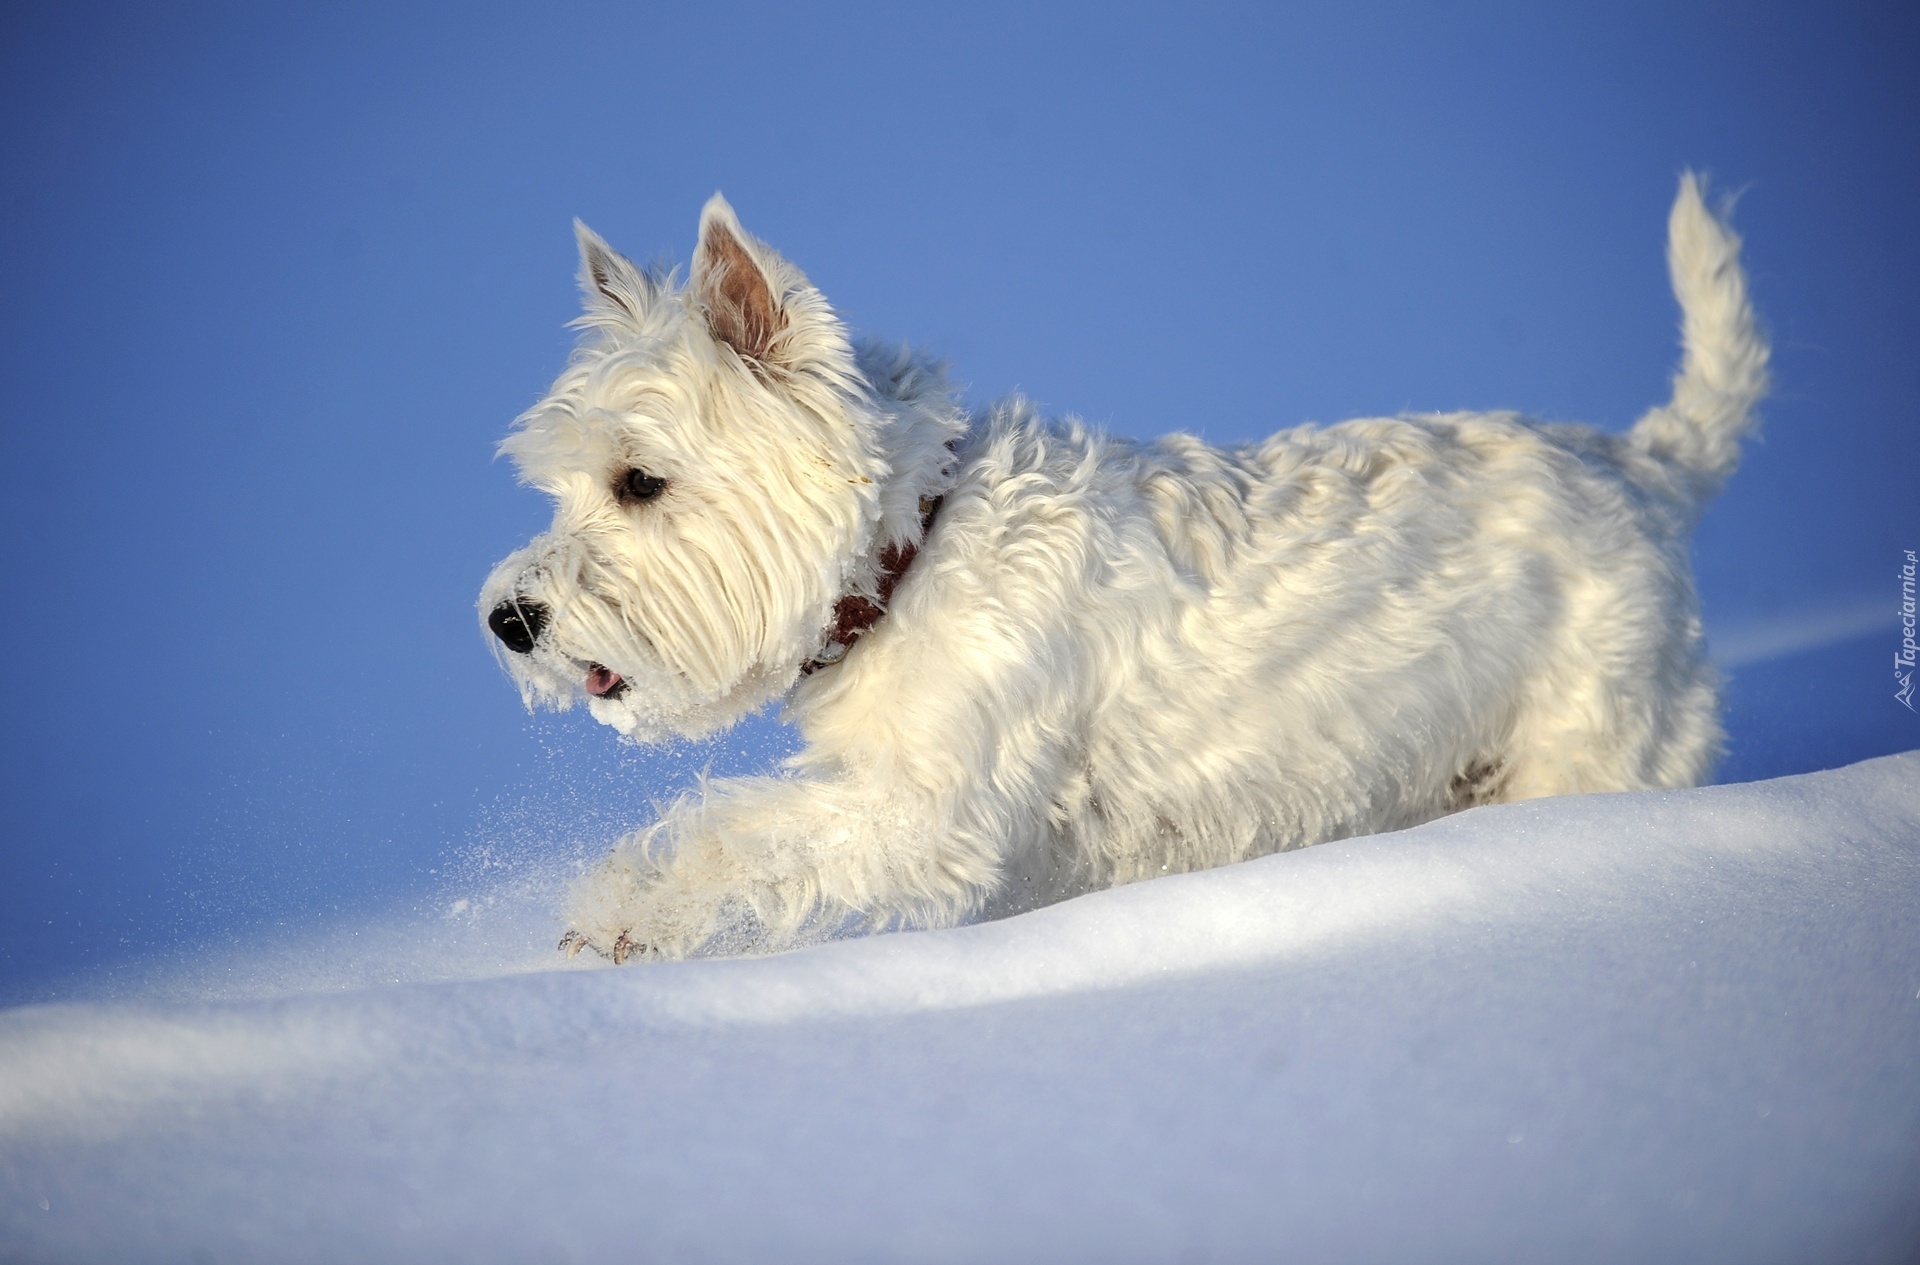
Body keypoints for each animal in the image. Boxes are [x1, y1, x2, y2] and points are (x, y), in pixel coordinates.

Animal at [480, 172, 1766, 963]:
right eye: (559, 488)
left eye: (639, 481)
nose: (508, 617)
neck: (910, 553)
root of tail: (1647, 465)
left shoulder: (929, 808)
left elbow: (736, 828)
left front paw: (616, 913)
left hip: (1594, 735)